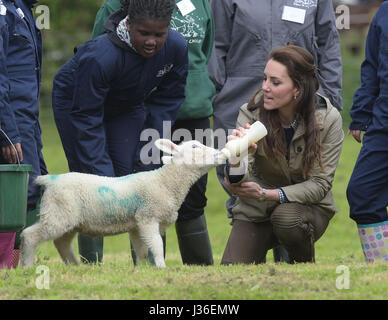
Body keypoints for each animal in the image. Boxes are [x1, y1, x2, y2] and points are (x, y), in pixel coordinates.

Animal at [19, 139, 224, 266]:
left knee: (61, 243)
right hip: (58, 213)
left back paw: (76, 266)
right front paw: (161, 266)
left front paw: (141, 269)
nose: (220, 153)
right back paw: (27, 266)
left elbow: (141, 250)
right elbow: (157, 245)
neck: (166, 182)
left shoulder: (136, 224)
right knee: (29, 235)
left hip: (69, 219)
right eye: (195, 146)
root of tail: (49, 180)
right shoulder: (147, 216)